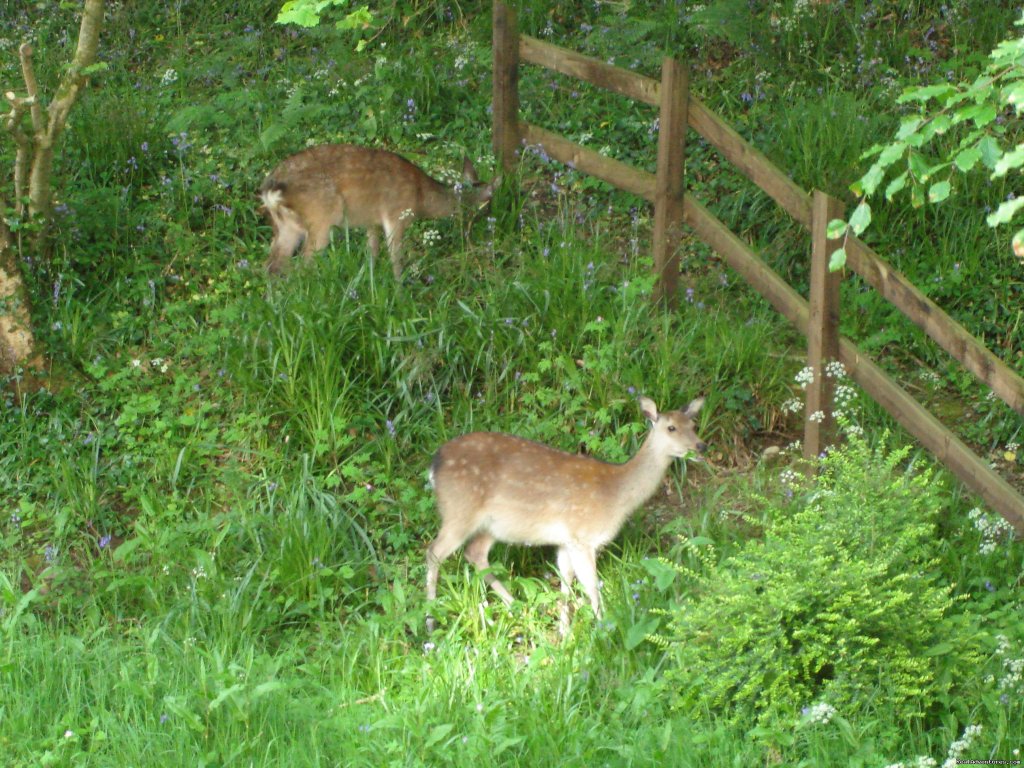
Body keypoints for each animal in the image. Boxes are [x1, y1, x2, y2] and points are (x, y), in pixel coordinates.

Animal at [256, 143, 495, 280]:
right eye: (488, 204)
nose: (486, 223)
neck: (421, 198)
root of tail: (270, 189)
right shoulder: (396, 214)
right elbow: (395, 259)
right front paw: (400, 293)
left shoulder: (372, 222)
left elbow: (372, 253)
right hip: (321, 216)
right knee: (303, 264)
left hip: (286, 224)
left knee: (272, 265)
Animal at [423, 393, 704, 634]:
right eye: (671, 428)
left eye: (693, 424)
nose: (701, 446)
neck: (616, 496)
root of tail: (434, 467)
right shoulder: (582, 537)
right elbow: (591, 585)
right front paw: (603, 630)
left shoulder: (566, 541)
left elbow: (565, 581)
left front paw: (565, 632)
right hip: (459, 511)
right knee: (434, 551)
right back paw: (430, 621)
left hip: (491, 526)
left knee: (475, 552)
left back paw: (519, 608)